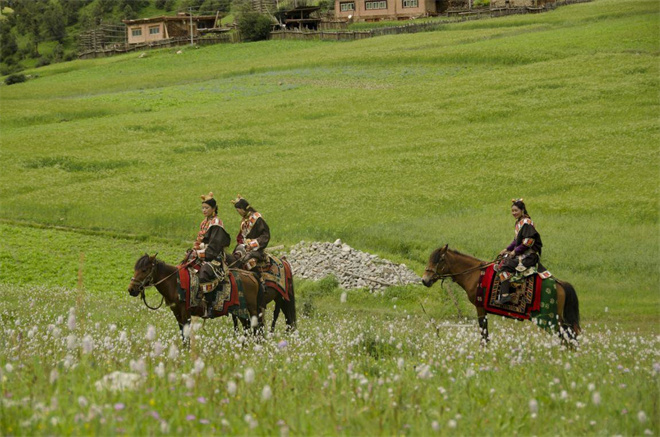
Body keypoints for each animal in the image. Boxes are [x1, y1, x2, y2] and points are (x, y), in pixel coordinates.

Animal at [127, 254, 264, 342]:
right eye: (135, 268)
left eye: (144, 270)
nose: (131, 289)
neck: (174, 282)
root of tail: (251, 275)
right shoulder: (177, 313)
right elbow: (182, 334)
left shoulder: (185, 312)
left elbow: (186, 334)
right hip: (240, 311)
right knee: (248, 329)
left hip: (251, 310)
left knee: (255, 328)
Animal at [420, 244, 580, 342]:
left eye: (439, 260)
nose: (425, 280)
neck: (474, 274)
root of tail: (559, 283)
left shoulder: (480, 308)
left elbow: (483, 332)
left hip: (550, 320)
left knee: (566, 338)